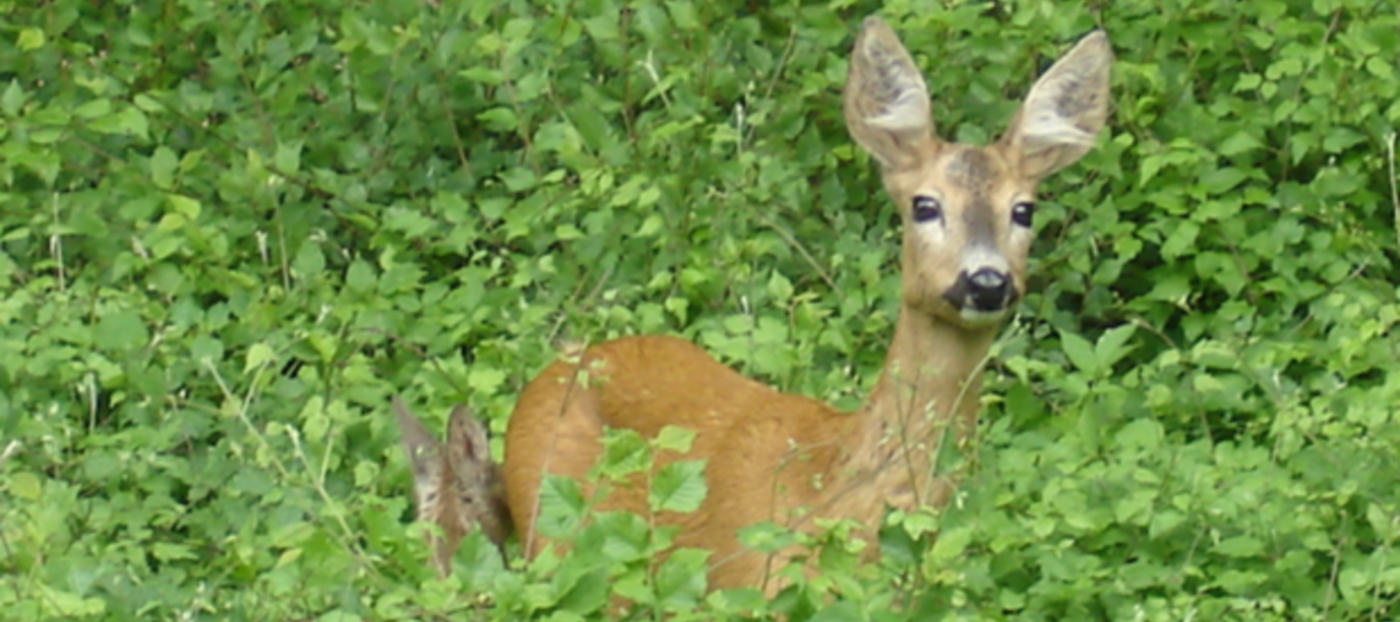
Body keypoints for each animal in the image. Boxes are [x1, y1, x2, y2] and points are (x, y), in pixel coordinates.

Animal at [400, 16, 1108, 593]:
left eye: (1024, 210)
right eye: (924, 205)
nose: (986, 281)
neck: (841, 495)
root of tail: (557, 370)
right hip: (556, 532)